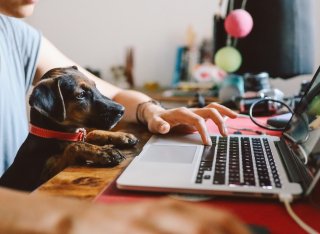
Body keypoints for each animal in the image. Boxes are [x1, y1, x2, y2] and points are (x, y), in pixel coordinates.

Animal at [0, 66, 138, 192]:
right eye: (81, 95)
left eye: (95, 86)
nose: (122, 110)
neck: (53, 133)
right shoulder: (42, 177)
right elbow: (74, 146)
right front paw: (104, 152)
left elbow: (91, 133)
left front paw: (122, 136)